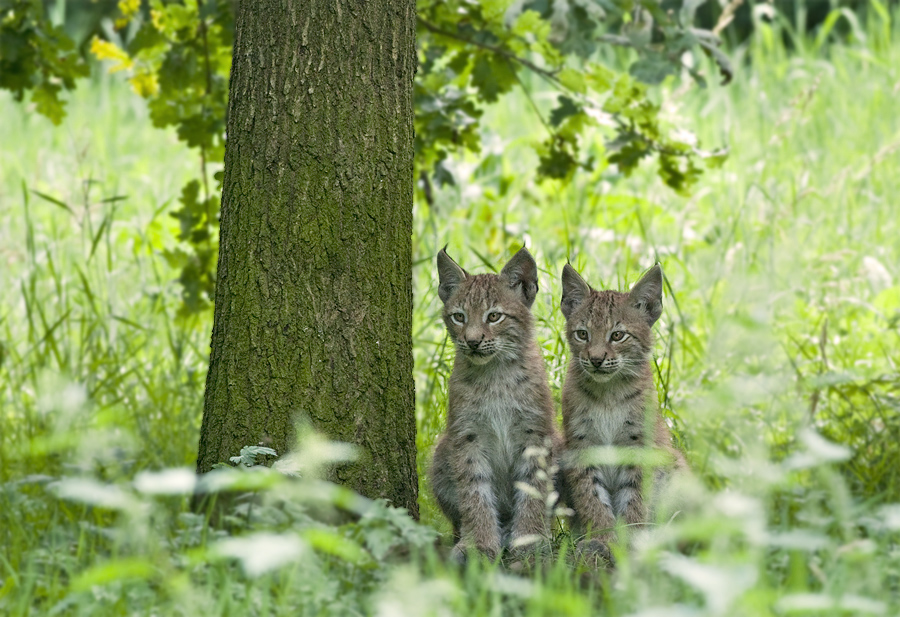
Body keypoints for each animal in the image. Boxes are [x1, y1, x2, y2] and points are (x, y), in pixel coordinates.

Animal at [430, 245, 564, 560]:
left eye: (494, 317)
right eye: (459, 317)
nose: (472, 342)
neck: (495, 372)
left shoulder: (534, 432)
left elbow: (533, 487)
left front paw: (529, 541)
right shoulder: (467, 434)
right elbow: (473, 490)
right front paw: (478, 544)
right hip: (441, 449)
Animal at [560, 262, 684, 560]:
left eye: (617, 335)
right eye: (582, 334)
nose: (595, 360)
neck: (609, 393)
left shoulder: (639, 445)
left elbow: (636, 498)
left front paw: (631, 542)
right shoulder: (581, 445)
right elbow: (591, 496)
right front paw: (603, 539)